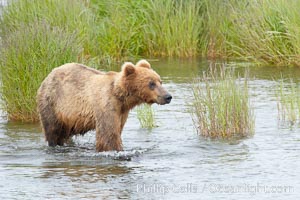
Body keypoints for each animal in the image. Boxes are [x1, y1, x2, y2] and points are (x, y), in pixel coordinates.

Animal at [36, 60, 172, 151]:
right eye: (151, 83)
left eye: (160, 81)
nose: (168, 96)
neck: (121, 96)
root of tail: (49, 75)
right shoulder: (106, 104)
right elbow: (108, 133)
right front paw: (115, 150)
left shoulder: (122, 112)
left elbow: (117, 129)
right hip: (53, 103)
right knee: (52, 130)